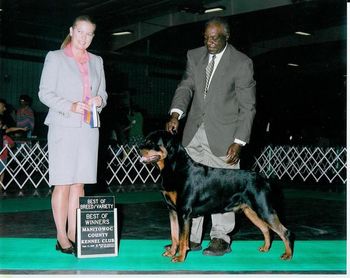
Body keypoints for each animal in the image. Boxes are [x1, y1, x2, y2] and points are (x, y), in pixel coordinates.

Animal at [138, 130, 294, 262]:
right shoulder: (172, 210)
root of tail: (264, 179)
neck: (174, 168)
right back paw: (265, 248)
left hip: (264, 209)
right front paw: (171, 252)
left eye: (151, 142)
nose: (139, 148)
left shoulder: (184, 212)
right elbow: (174, 234)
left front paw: (180, 257)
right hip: (250, 211)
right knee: (266, 229)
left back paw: (287, 255)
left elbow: (182, 238)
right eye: (145, 140)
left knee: (284, 232)